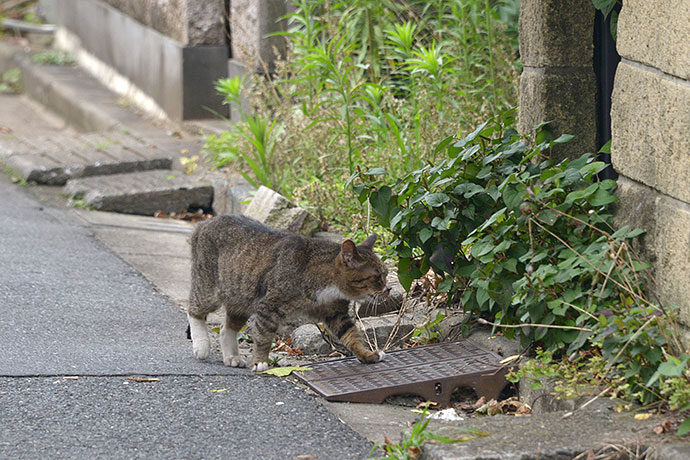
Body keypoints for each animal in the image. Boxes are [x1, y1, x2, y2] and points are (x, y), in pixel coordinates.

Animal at [185, 215, 388, 370]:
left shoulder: (336, 312)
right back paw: (201, 345)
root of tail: (204, 223)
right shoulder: (268, 307)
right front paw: (259, 361)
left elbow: (352, 335)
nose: (388, 289)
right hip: (210, 289)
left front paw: (367, 355)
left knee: (227, 327)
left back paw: (232, 357)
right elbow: (263, 336)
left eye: (386, 274)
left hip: (241, 296)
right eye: (377, 277)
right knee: (194, 310)